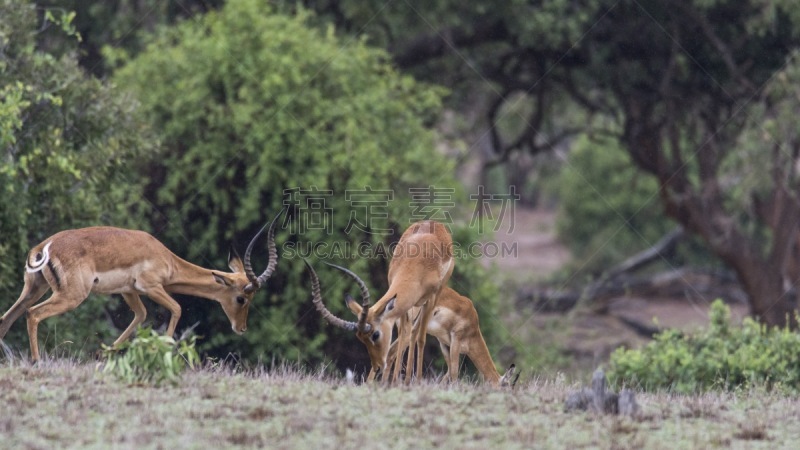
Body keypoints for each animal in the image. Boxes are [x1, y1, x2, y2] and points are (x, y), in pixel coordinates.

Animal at [0, 213, 282, 360]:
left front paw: (105, 353)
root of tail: (44, 247)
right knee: (33, 314)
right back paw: (37, 361)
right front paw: (162, 350)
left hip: (34, 289)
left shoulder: (129, 292)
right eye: (242, 298)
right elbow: (177, 308)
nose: (241, 328)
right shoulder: (151, 287)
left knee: (8, 318)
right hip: (70, 296)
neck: (166, 259)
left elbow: (141, 315)